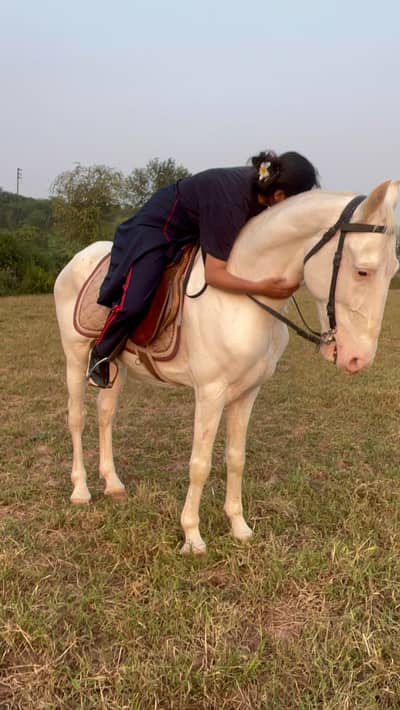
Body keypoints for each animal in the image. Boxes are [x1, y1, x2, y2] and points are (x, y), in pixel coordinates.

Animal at [54, 181, 399, 553]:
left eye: (393, 271)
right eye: (362, 270)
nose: (358, 359)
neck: (241, 296)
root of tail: (79, 257)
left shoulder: (247, 392)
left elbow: (236, 458)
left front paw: (239, 527)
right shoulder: (210, 392)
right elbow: (200, 464)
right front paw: (192, 537)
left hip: (116, 365)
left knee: (106, 414)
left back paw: (113, 483)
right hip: (75, 357)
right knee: (77, 418)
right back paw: (80, 490)